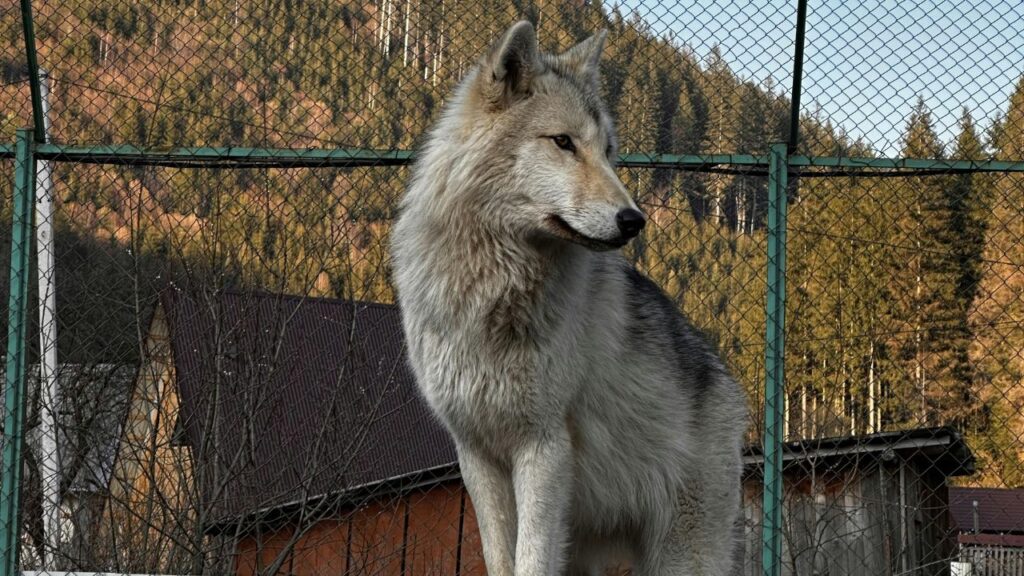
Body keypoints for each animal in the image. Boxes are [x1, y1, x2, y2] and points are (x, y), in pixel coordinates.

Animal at [391, 20, 747, 576]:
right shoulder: (476, 454)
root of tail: (732, 390)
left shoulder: (543, 447)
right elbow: (501, 558)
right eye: (563, 142)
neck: (493, 288)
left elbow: (530, 560)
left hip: (682, 552)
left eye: (608, 151)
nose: (634, 220)